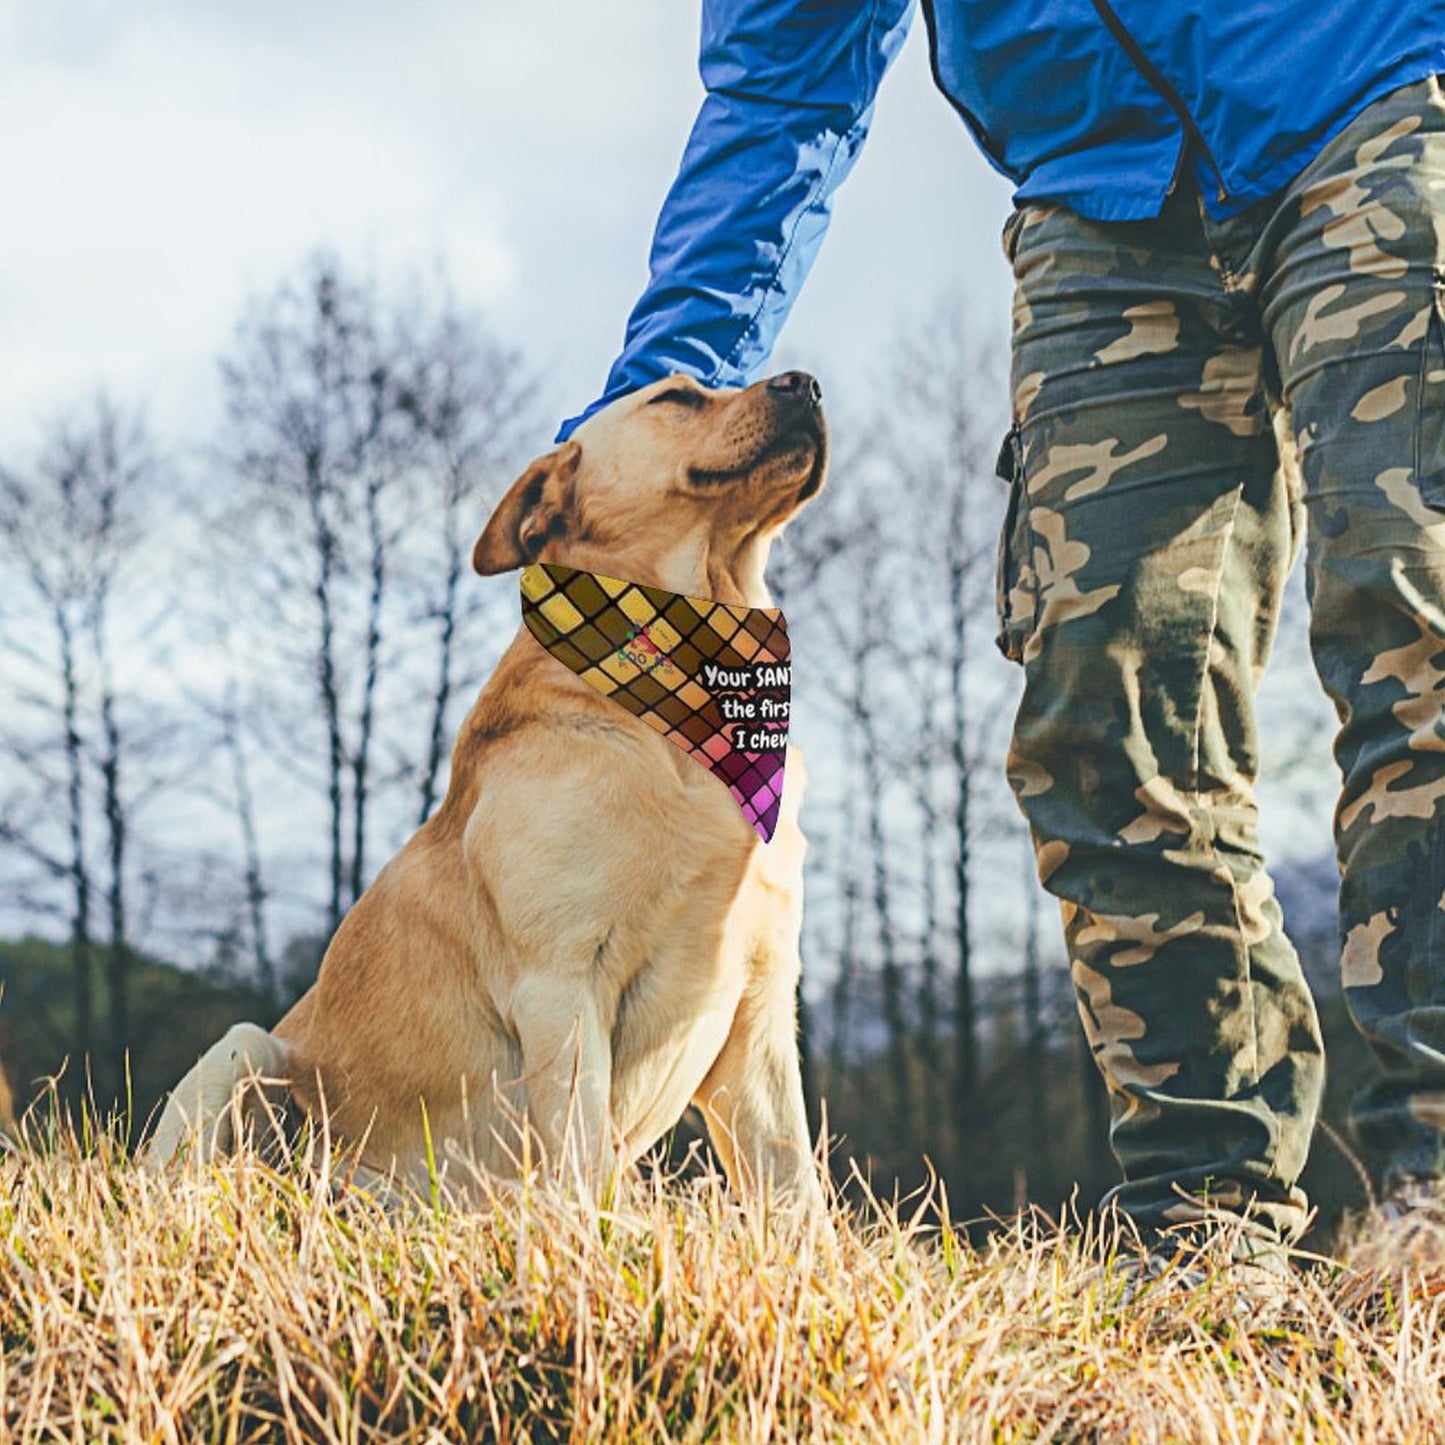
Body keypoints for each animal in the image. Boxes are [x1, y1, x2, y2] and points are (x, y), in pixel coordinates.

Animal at [148, 372, 832, 1208]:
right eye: (675, 397)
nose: (806, 383)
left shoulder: (760, 1001)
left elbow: (797, 1190)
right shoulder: (561, 982)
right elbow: (583, 1164)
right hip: (244, 1051)